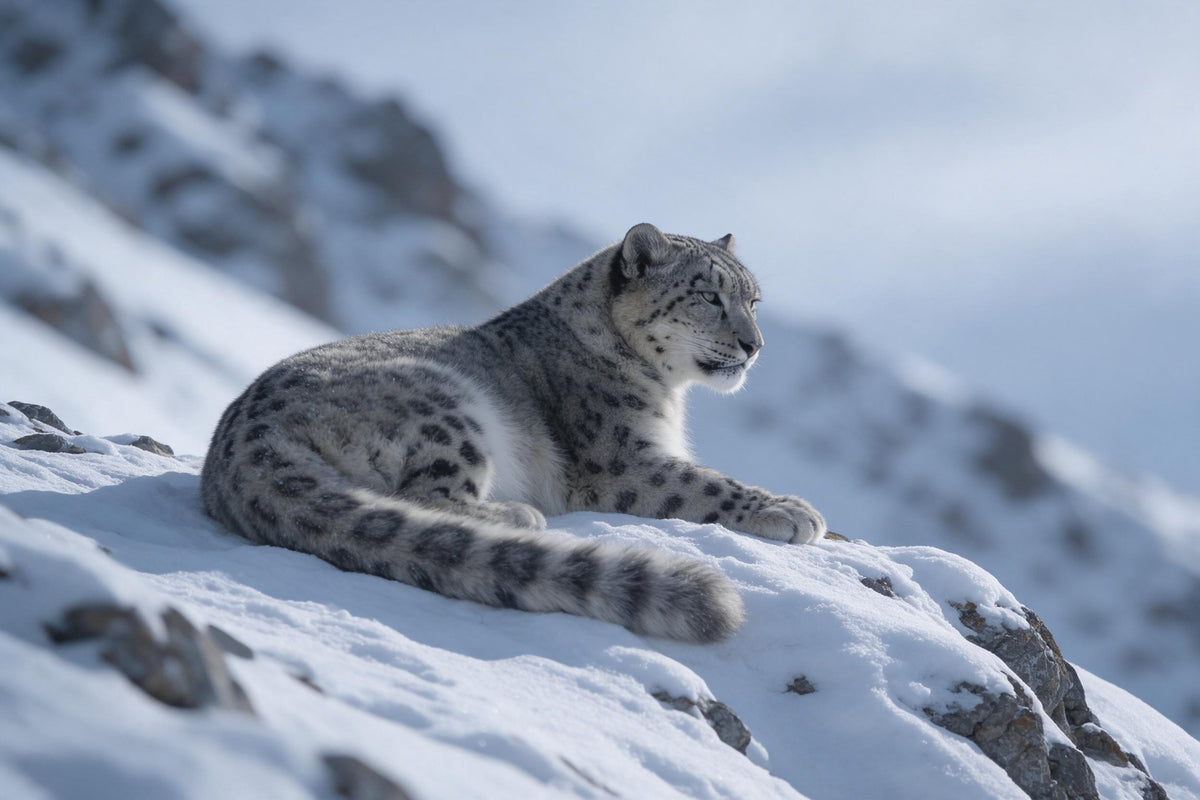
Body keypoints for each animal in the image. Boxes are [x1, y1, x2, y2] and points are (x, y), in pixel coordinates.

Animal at [201, 223, 827, 642]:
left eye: (753, 300)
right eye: (708, 295)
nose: (755, 345)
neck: (668, 395)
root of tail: (238, 440)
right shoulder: (621, 460)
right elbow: (707, 484)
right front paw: (793, 510)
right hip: (449, 408)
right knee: (425, 496)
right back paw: (518, 515)